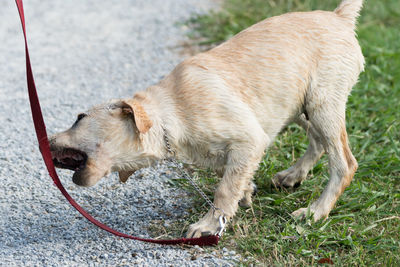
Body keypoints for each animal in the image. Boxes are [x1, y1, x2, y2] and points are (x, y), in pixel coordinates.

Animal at [48, 0, 364, 239]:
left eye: (79, 118)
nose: (45, 140)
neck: (171, 113)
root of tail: (339, 16)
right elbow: (232, 177)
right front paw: (245, 193)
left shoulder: (250, 139)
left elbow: (224, 189)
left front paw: (209, 225)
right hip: (298, 107)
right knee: (317, 141)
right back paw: (292, 176)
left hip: (323, 104)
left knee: (344, 163)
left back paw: (315, 212)